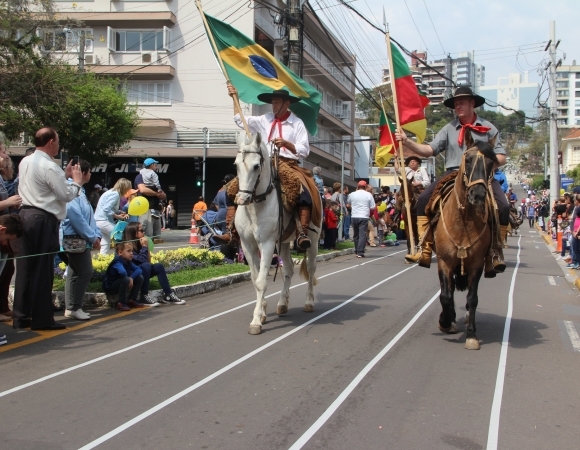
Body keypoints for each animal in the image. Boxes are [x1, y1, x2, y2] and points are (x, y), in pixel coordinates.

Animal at [234, 131, 322, 334]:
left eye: (256, 166)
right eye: (236, 164)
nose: (242, 198)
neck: (256, 205)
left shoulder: (266, 244)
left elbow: (261, 281)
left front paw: (256, 321)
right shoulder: (247, 244)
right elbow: (254, 278)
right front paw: (263, 311)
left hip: (313, 241)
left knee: (311, 269)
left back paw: (309, 302)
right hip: (282, 242)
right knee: (288, 268)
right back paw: (282, 303)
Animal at [436, 134, 498, 352]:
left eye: (491, 163)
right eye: (468, 160)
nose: (477, 195)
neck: (463, 220)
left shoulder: (476, 264)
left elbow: (472, 299)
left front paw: (471, 334)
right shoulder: (444, 262)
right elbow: (445, 296)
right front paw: (445, 322)